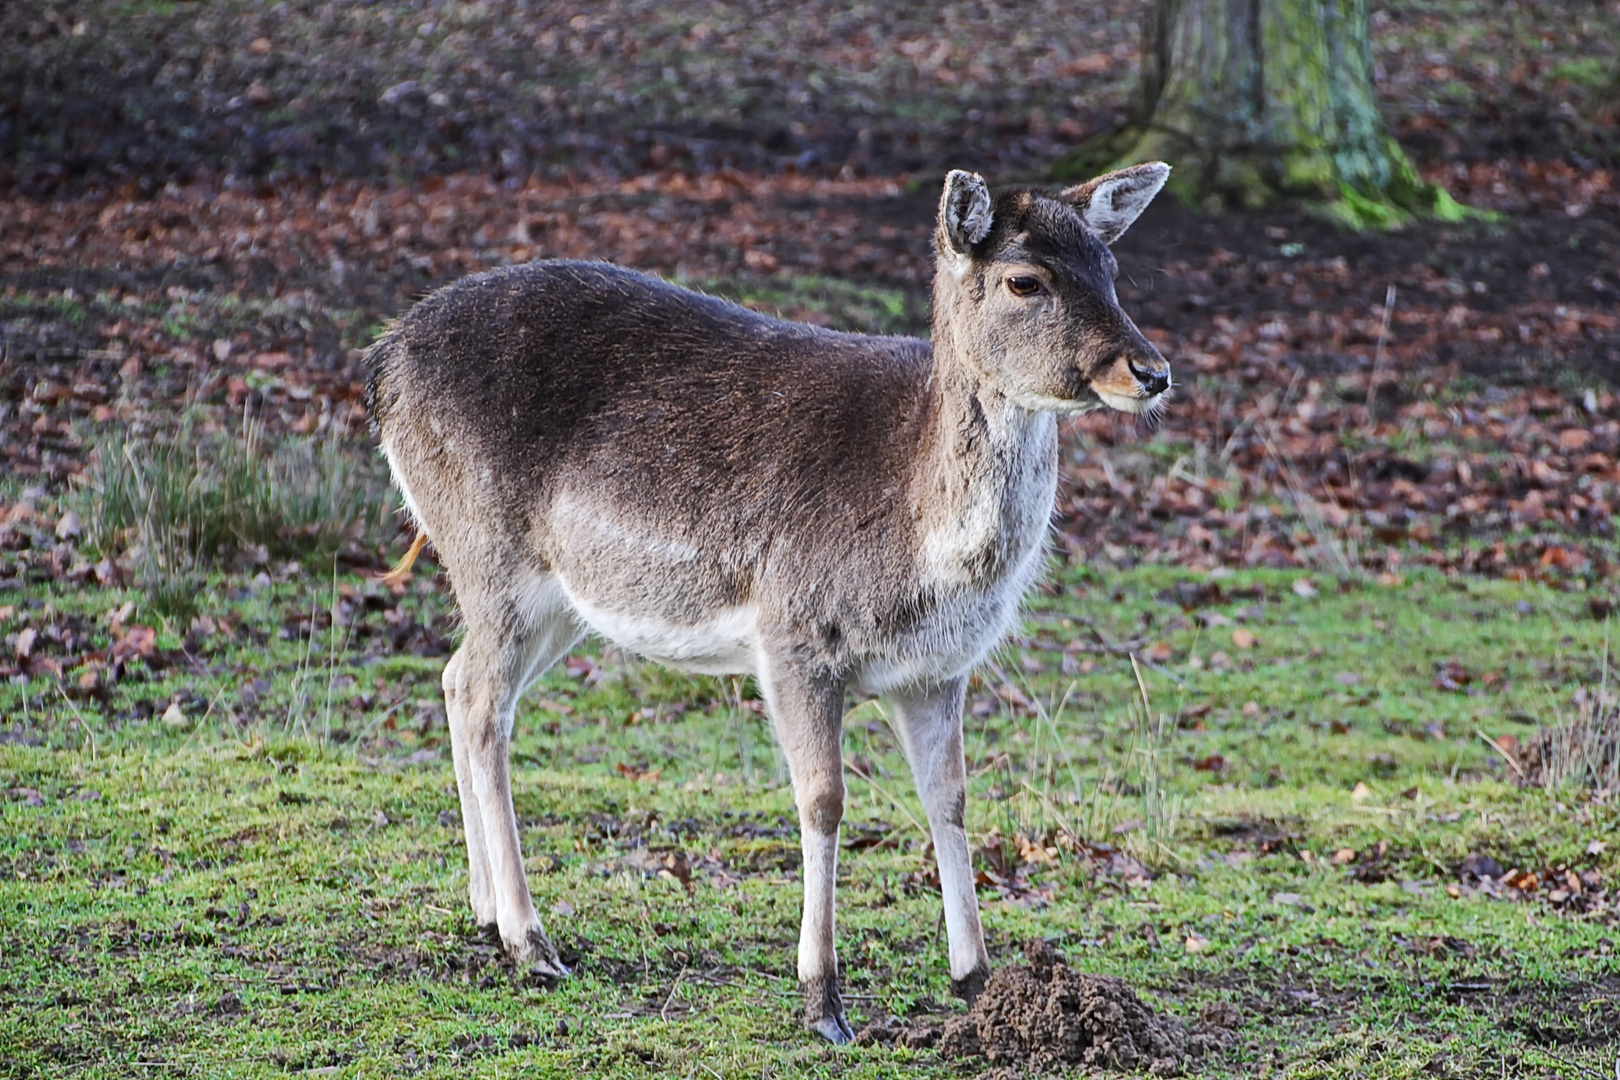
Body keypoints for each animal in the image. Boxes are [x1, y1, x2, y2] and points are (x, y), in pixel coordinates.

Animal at [364, 165, 1179, 1042]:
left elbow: (951, 799)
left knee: (458, 681)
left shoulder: (937, 671)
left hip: (555, 601)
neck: (924, 545)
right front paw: (823, 1000)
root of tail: (381, 362)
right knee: (482, 699)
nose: (1151, 371)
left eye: (1111, 266)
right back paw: (531, 941)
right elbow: (823, 800)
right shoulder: (794, 636)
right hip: (489, 553)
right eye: (1025, 280)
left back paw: (485, 915)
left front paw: (977, 981)